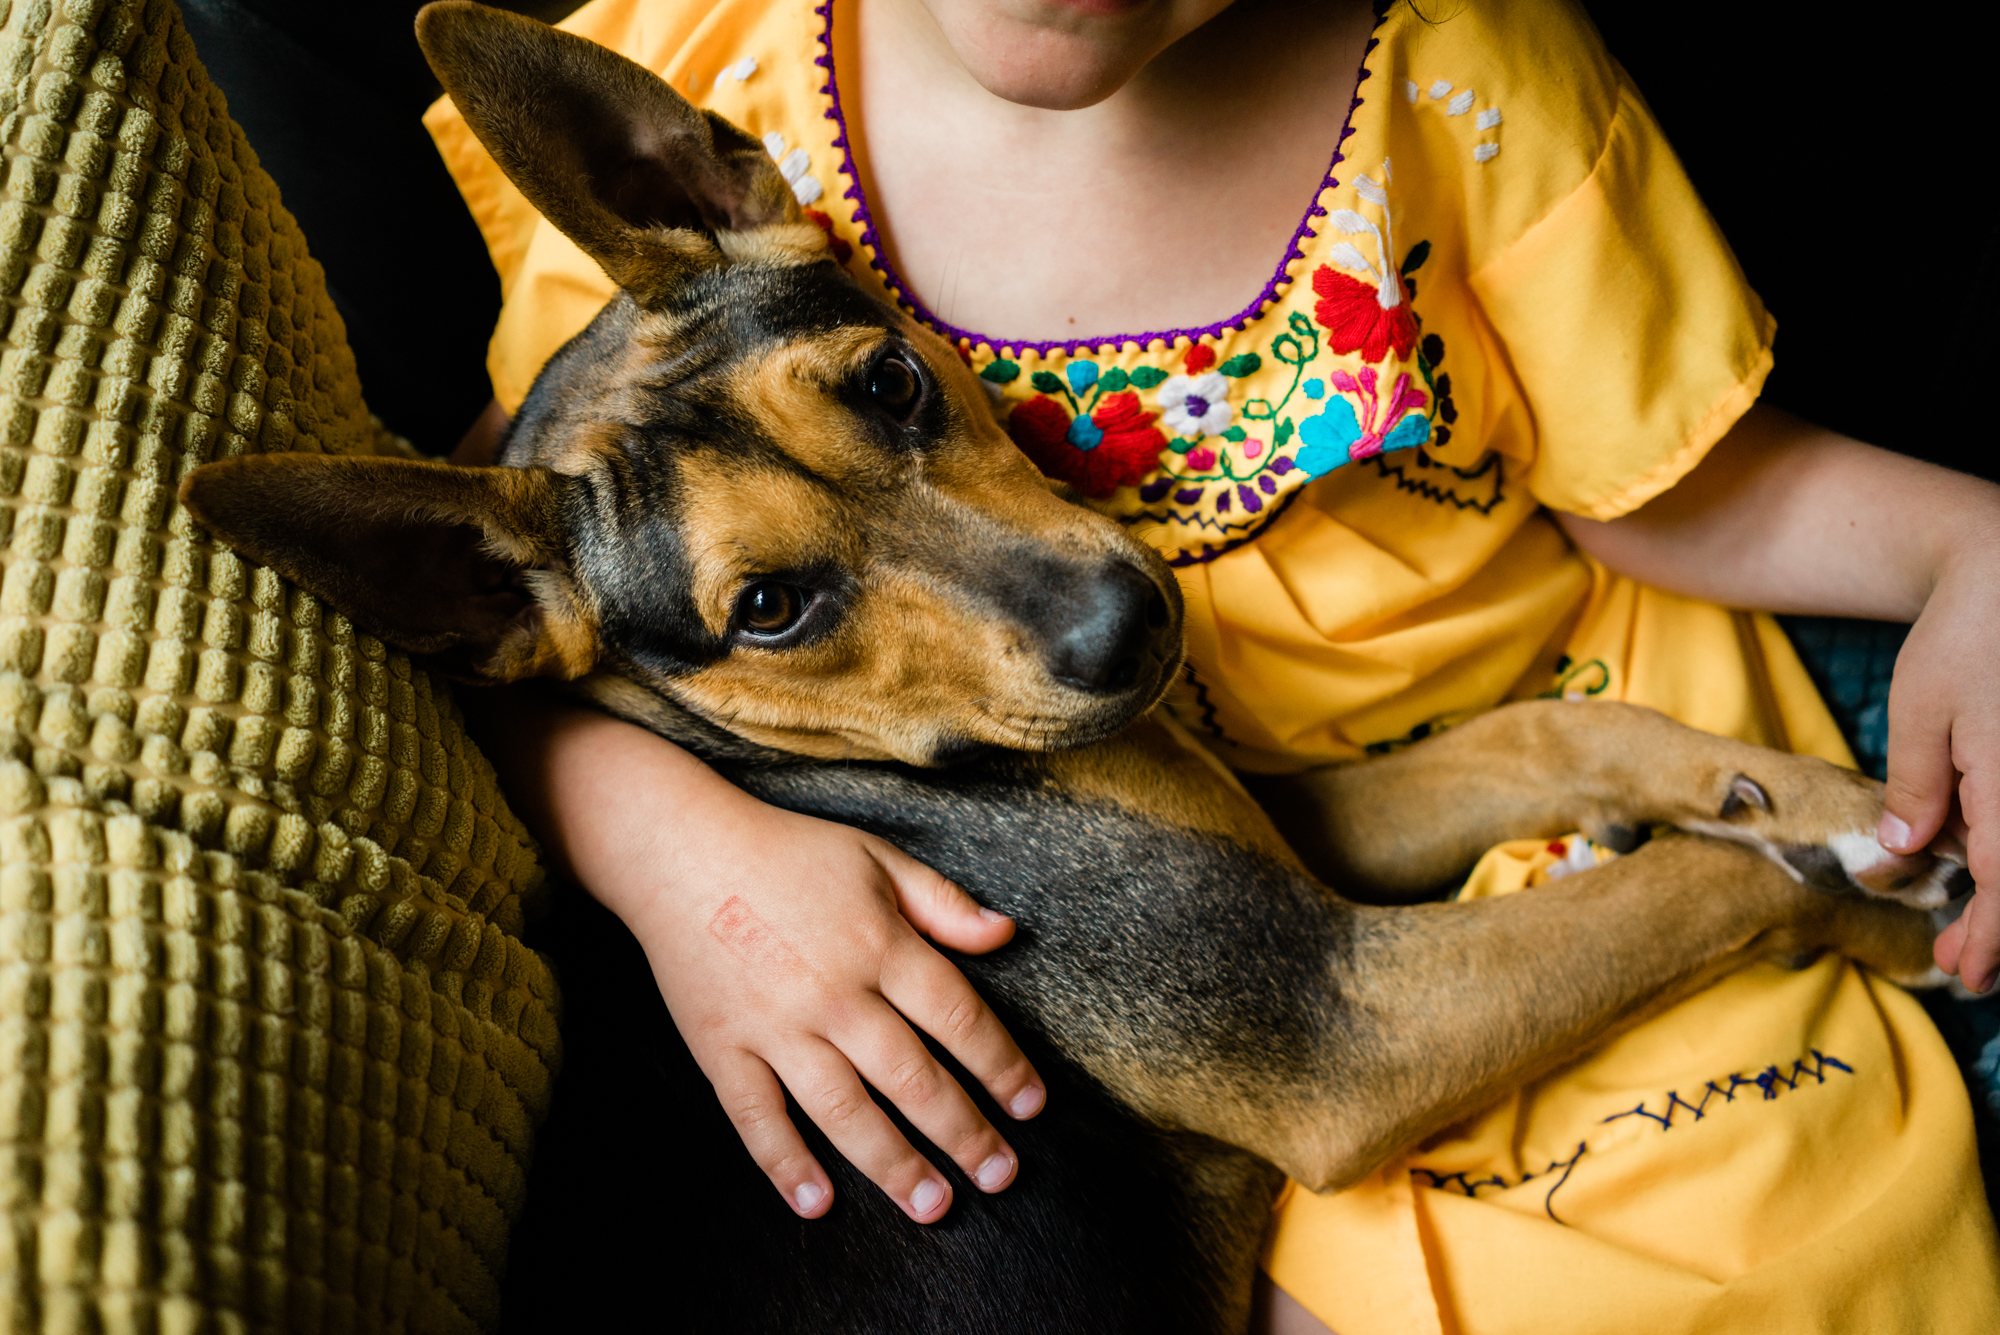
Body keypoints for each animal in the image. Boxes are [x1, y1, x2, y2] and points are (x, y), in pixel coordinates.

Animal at [176, 5, 1968, 1327]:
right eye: (769, 608)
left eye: (892, 380)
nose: (1130, 634)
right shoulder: (1343, 1018)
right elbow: (1689, 889)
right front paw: (1877, 894)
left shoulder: (1279, 848)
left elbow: (1541, 741)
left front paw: (1802, 792)